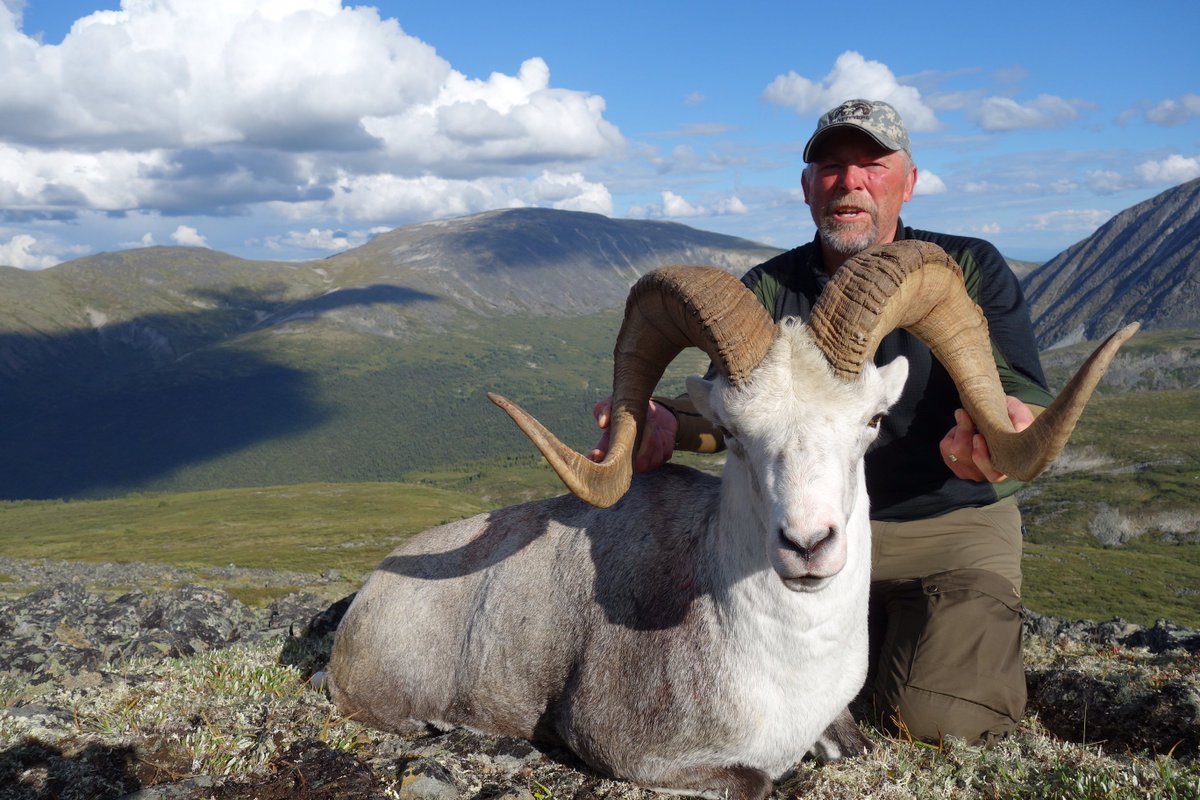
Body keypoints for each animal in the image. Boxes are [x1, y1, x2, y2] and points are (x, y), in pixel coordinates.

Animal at [328, 240, 1137, 800]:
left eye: (872, 423)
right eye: (735, 433)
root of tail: (366, 599)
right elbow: (759, 781)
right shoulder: (645, 753)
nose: (808, 545)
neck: (780, 660)